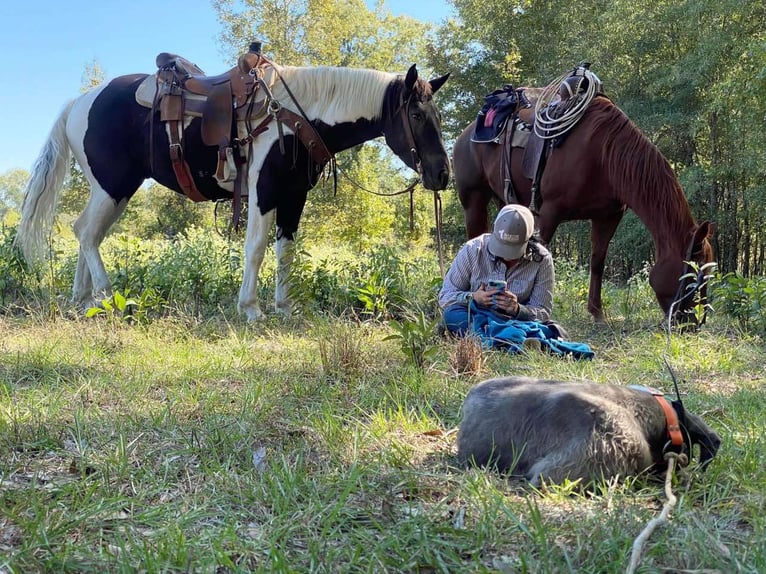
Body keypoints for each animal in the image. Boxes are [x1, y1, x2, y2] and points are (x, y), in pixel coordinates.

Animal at [15, 56, 450, 321]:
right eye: (415, 114)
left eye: (437, 114)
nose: (442, 175)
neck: (294, 115)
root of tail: (77, 103)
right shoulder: (264, 191)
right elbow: (256, 247)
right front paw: (251, 308)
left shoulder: (294, 196)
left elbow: (286, 250)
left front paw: (284, 306)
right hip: (114, 186)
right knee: (88, 233)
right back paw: (107, 297)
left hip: (113, 190)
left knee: (85, 231)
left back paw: (83, 300)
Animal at [452, 92, 715, 325]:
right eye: (693, 277)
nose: (693, 323)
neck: (603, 154)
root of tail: (466, 134)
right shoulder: (549, 211)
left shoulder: (608, 216)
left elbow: (597, 261)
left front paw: (597, 313)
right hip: (474, 200)